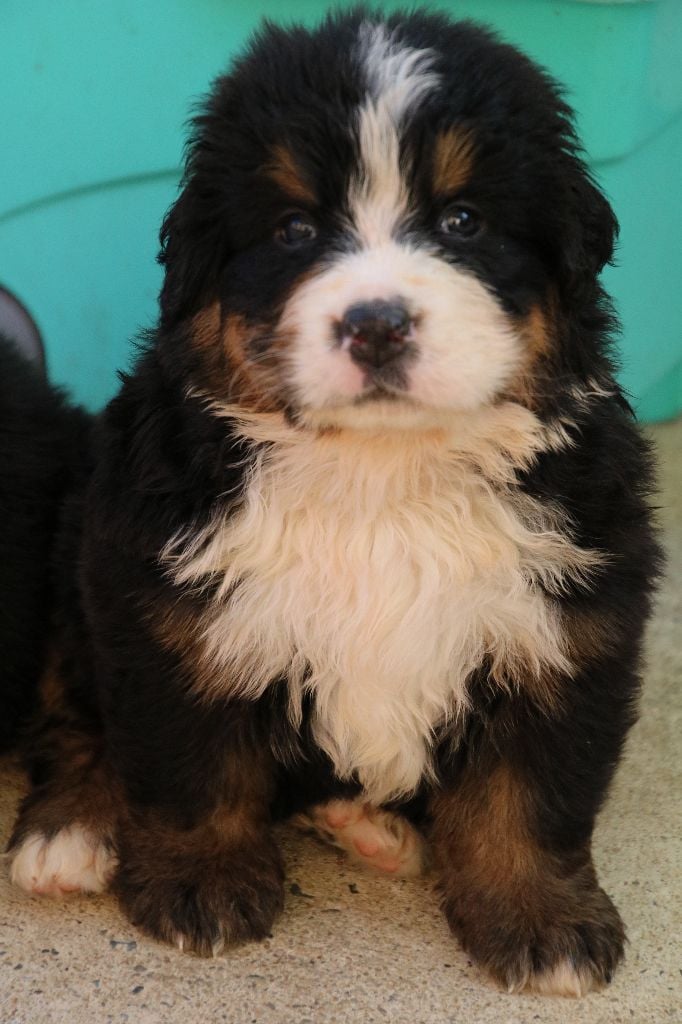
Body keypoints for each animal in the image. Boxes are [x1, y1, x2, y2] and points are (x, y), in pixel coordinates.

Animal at [2, 8, 655, 999]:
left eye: (463, 221)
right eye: (295, 228)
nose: (376, 324)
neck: (380, 475)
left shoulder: (569, 621)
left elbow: (532, 794)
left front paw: (545, 923)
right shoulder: (166, 605)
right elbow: (192, 763)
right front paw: (201, 882)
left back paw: (369, 827)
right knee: (73, 714)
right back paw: (69, 831)